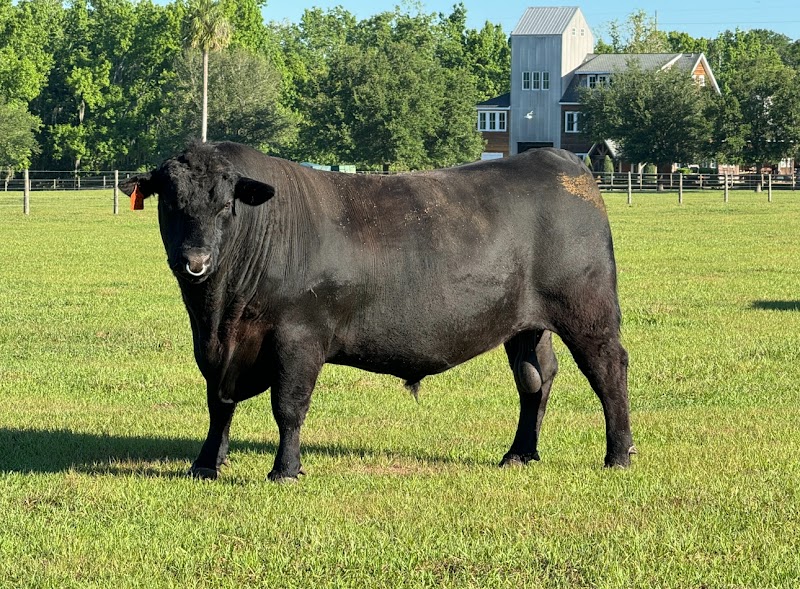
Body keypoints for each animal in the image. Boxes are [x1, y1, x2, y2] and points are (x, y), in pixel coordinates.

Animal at [119, 141, 634, 482]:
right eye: (171, 202)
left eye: (227, 205)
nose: (196, 260)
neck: (219, 313)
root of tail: (558, 159)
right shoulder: (216, 350)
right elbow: (218, 404)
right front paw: (206, 463)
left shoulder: (298, 336)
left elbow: (288, 406)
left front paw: (285, 470)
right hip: (525, 325)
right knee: (535, 379)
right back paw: (520, 454)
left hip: (589, 312)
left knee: (608, 371)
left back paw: (618, 455)